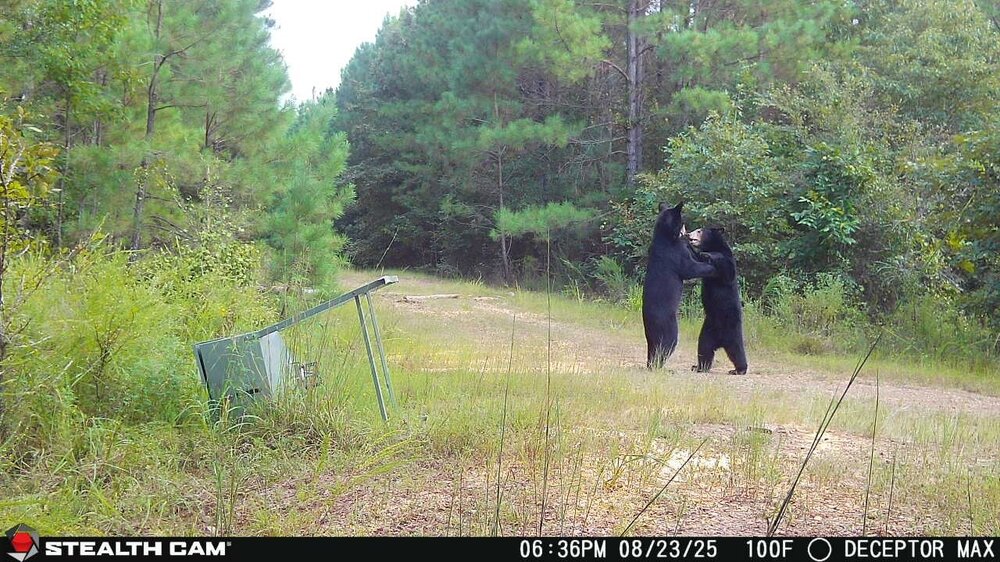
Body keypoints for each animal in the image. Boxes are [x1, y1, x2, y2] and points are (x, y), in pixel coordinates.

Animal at [642, 202, 717, 369]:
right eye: (682, 223)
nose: (687, 233)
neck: (666, 237)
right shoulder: (675, 254)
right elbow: (690, 268)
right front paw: (712, 267)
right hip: (668, 326)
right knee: (666, 345)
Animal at [687, 226, 748, 375]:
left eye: (699, 231)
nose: (689, 234)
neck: (713, 245)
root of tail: (720, 341)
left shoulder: (727, 261)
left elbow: (727, 269)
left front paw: (707, 254)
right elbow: (695, 262)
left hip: (732, 329)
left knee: (736, 350)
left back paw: (739, 369)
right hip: (708, 330)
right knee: (704, 347)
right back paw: (699, 367)